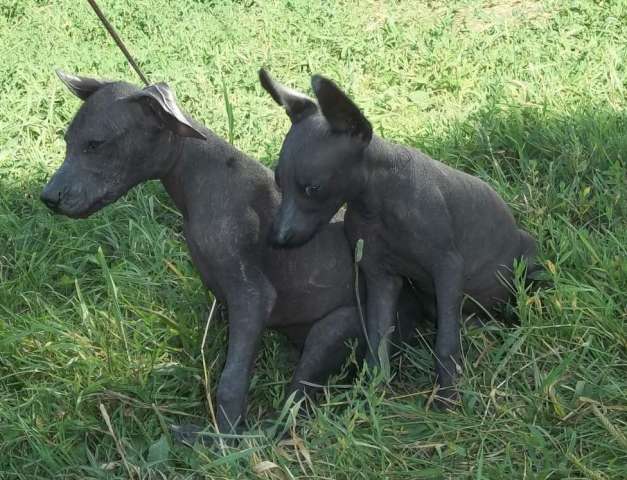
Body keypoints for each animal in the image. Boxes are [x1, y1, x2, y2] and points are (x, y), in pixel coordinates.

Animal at [40, 70, 422, 438]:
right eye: (67, 141)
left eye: (95, 145)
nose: (48, 198)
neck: (198, 178)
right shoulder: (223, 299)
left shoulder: (252, 297)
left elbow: (231, 380)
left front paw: (223, 440)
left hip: (333, 330)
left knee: (290, 414)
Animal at [260, 67, 540, 404]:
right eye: (279, 182)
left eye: (313, 188)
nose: (276, 238)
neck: (378, 203)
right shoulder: (381, 278)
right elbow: (377, 341)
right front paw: (372, 395)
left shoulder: (448, 267)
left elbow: (445, 342)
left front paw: (447, 397)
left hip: (527, 260)